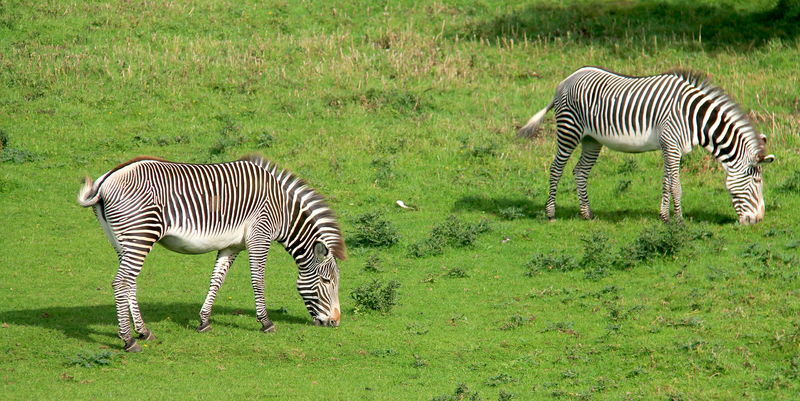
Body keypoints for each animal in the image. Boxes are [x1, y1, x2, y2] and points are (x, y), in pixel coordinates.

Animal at [76, 153, 346, 350]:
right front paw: (266, 322)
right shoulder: (260, 235)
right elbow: (258, 280)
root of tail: (105, 180)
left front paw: (204, 321)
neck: (284, 211)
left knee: (130, 281)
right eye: (326, 281)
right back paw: (129, 340)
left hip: (122, 240)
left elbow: (217, 279)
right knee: (121, 282)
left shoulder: (232, 244)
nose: (335, 322)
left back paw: (143, 331)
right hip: (141, 234)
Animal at [520, 65, 776, 223]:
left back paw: (587, 213)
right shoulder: (671, 144)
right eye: (757, 182)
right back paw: (551, 213)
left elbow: (666, 182)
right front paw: (679, 220)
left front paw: (664, 217)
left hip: (591, 139)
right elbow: (676, 185)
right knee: (556, 168)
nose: (758, 221)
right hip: (569, 130)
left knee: (580, 171)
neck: (695, 119)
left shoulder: (670, 147)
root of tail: (566, 80)